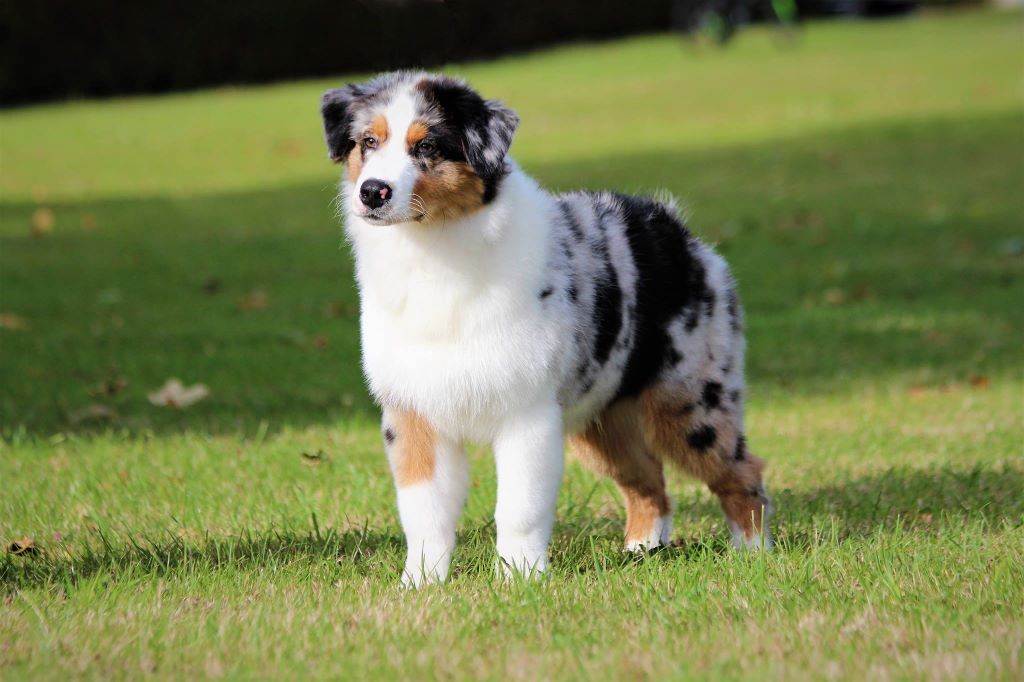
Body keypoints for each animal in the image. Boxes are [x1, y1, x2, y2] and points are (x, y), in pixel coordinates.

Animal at [317, 73, 770, 585]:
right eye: (367, 143)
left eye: (427, 146)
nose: (372, 192)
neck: (435, 251)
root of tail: (673, 227)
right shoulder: (414, 413)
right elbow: (424, 512)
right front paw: (421, 583)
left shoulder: (526, 413)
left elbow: (519, 508)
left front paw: (519, 580)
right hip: (604, 415)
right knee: (647, 478)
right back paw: (642, 549)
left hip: (691, 400)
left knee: (740, 470)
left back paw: (753, 553)